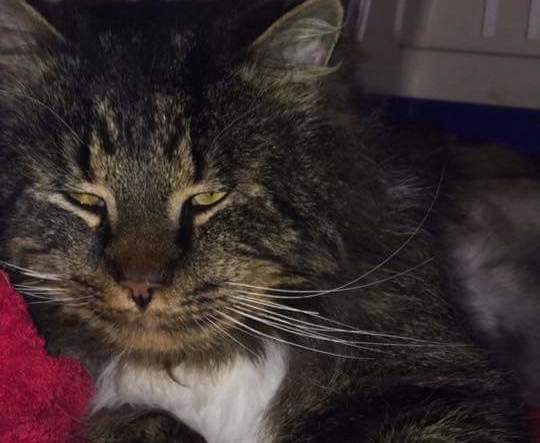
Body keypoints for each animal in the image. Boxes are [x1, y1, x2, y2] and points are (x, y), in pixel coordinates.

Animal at [0, 0, 529, 442]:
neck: (200, 363)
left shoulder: (435, 384)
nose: (141, 286)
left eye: (208, 197)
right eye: (84, 198)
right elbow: (139, 420)